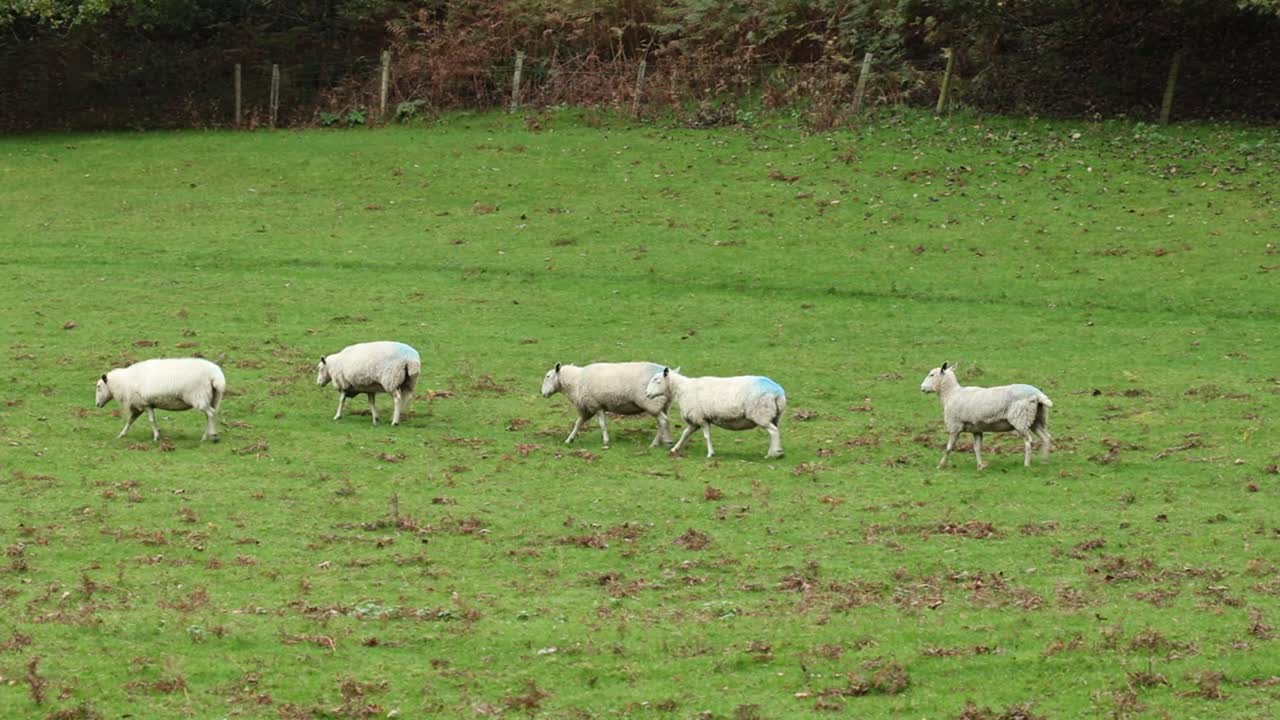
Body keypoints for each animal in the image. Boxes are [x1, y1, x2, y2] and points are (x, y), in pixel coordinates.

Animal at [95, 358, 226, 442]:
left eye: (99, 386)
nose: (97, 404)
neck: (123, 382)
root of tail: (216, 376)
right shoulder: (141, 405)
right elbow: (131, 420)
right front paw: (121, 434)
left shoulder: (144, 403)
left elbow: (151, 420)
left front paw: (156, 437)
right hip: (212, 397)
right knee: (210, 415)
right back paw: (205, 437)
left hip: (198, 396)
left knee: (211, 413)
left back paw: (213, 436)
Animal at [540, 361, 673, 448]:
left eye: (548, 376)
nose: (542, 393)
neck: (576, 381)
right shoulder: (588, 409)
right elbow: (578, 424)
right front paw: (569, 440)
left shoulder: (595, 405)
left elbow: (602, 424)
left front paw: (605, 441)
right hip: (662, 405)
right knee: (663, 422)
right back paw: (664, 440)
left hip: (652, 403)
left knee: (663, 421)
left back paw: (657, 443)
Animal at [644, 367, 786, 459]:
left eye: (657, 380)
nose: (646, 394)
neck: (682, 390)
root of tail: (778, 392)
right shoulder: (695, 421)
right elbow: (685, 434)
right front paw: (675, 449)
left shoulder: (700, 418)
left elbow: (707, 436)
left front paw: (710, 454)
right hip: (775, 416)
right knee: (775, 432)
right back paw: (776, 451)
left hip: (761, 413)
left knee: (773, 432)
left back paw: (773, 454)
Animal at [919, 361, 1053, 469]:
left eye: (931, 375)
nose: (922, 388)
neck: (950, 394)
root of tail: (1038, 394)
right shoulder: (976, 429)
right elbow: (977, 448)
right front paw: (980, 466)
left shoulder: (955, 426)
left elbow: (949, 447)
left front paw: (940, 465)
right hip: (1036, 419)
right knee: (1046, 437)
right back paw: (1045, 461)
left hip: (1020, 419)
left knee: (1028, 441)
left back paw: (1027, 464)